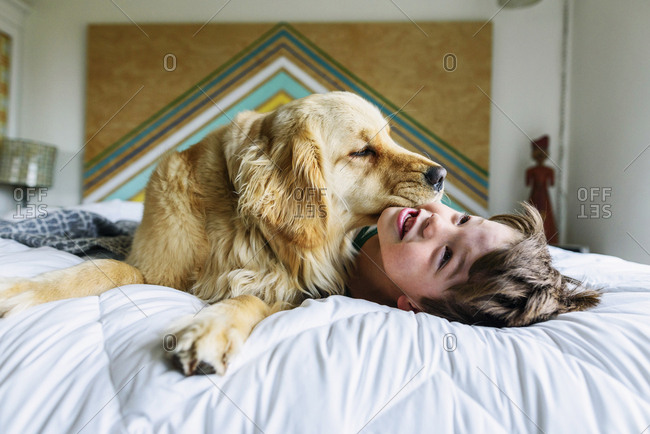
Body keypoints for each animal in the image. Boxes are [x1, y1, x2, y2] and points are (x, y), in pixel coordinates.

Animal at [0, 92, 442, 376]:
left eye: (388, 138)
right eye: (363, 151)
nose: (440, 174)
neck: (244, 226)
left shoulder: (295, 296)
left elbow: (248, 297)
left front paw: (210, 329)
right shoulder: (150, 269)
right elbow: (108, 268)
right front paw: (23, 290)